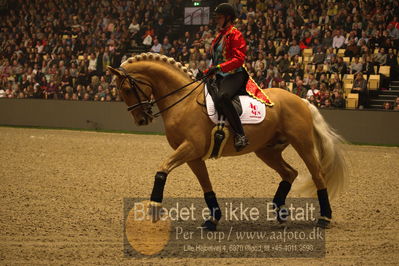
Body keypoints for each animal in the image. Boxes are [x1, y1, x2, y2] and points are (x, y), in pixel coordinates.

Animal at [108, 53, 346, 230]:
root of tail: (301, 100)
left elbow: (162, 168)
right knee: (290, 173)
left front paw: (154, 206)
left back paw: (324, 218)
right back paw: (280, 211)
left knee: (317, 175)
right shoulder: (193, 156)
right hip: (267, 151)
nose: (141, 120)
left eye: (126, 89)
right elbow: (206, 186)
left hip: (302, 143)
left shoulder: (190, 148)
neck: (183, 101)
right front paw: (212, 220)